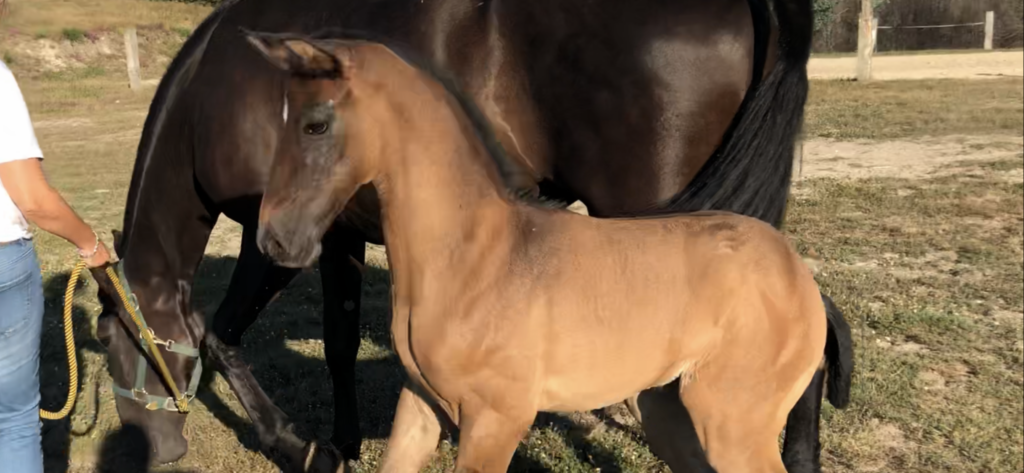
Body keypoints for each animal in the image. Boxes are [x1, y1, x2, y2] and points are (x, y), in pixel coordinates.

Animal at [249, 31, 831, 470]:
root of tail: (796, 270)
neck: (474, 261)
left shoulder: (495, 422)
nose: (273, 239)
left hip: (734, 424)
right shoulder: (419, 406)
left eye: (316, 124)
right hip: (666, 411)